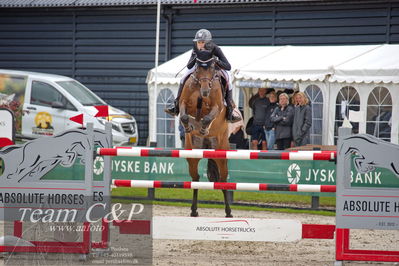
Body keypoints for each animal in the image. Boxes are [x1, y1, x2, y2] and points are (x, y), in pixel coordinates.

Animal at [180, 51, 233, 218]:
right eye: (197, 68)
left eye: (212, 68)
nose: (205, 92)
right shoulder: (184, 103)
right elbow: (184, 115)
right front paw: (189, 126)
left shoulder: (217, 106)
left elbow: (209, 117)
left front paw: (204, 128)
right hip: (192, 155)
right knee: (195, 179)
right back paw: (193, 210)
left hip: (221, 155)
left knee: (223, 180)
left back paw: (229, 212)